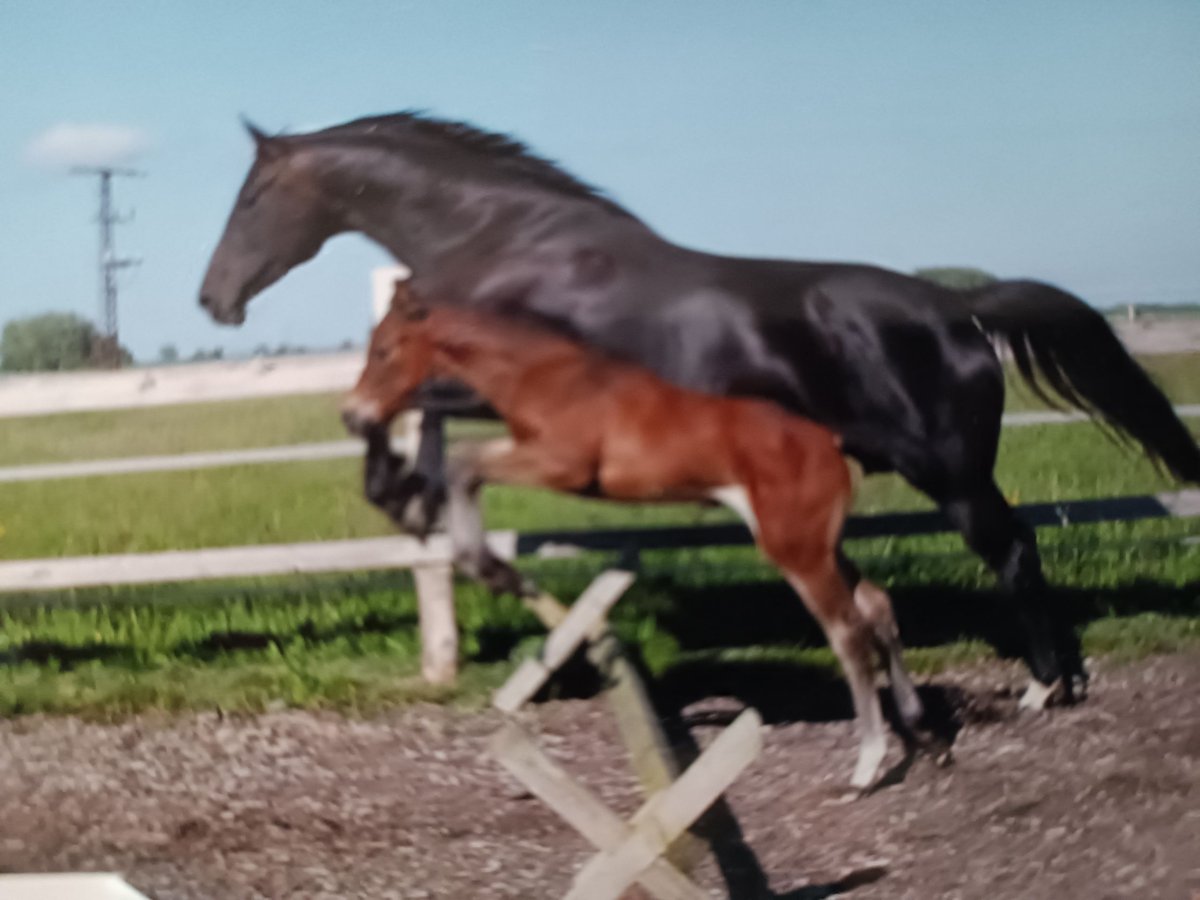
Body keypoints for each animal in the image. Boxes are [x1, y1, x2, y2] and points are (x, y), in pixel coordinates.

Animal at [196, 112, 1200, 705]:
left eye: (252, 196)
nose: (215, 299)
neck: (509, 242)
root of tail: (958, 307)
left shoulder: (523, 391)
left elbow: (396, 420)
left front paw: (409, 501)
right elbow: (406, 421)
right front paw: (420, 504)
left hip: (948, 471)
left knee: (1014, 548)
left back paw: (1049, 684)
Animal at [343, 282, 921, 787]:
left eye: (385, 351)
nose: (354, 416)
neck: (547, 378)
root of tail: (831, 440)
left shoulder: (563, 465)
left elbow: (464, 460)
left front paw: (489, 565)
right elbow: (465, 464)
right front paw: (487, 563)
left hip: (795, 550)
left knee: (847, 633)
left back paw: (867, 765)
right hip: (821, 543)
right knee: (876, 602)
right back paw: (917, 724)